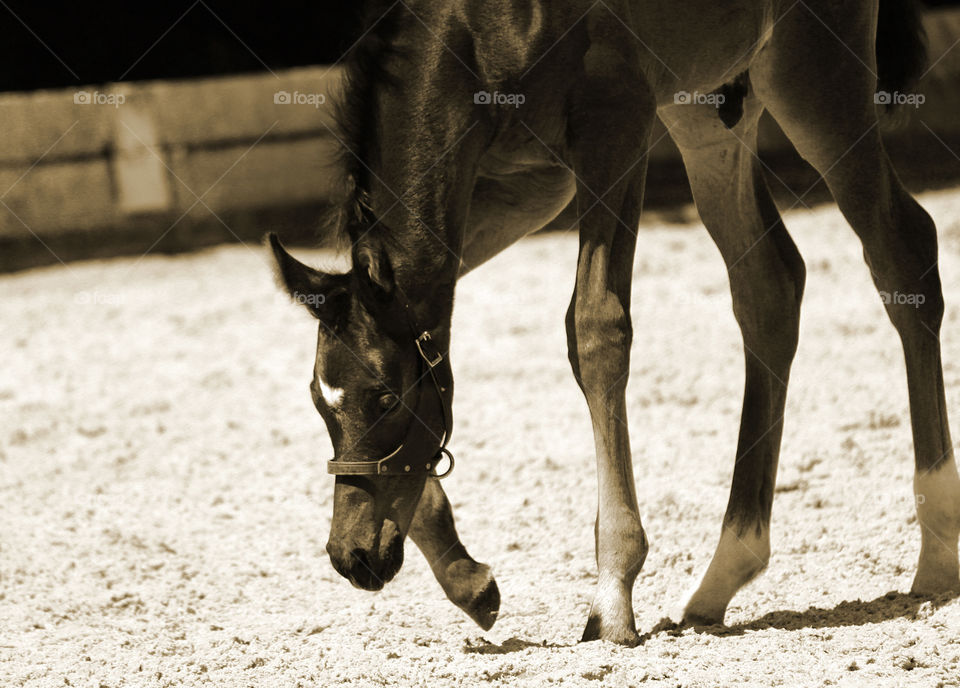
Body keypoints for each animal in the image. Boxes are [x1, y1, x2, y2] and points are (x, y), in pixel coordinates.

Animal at [268, 0, 960, 644]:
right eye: (319, 404)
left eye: (387, 399)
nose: (352, 556)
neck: (476, 26)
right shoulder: (525, 183)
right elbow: (433, 310)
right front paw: (466, 578)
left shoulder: (616, 123)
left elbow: (597, 329)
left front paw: (612, 596)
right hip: (706, 110)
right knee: (771, 287)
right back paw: (723, 573)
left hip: (812, 75)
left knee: (903, 250)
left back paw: (936, 552)